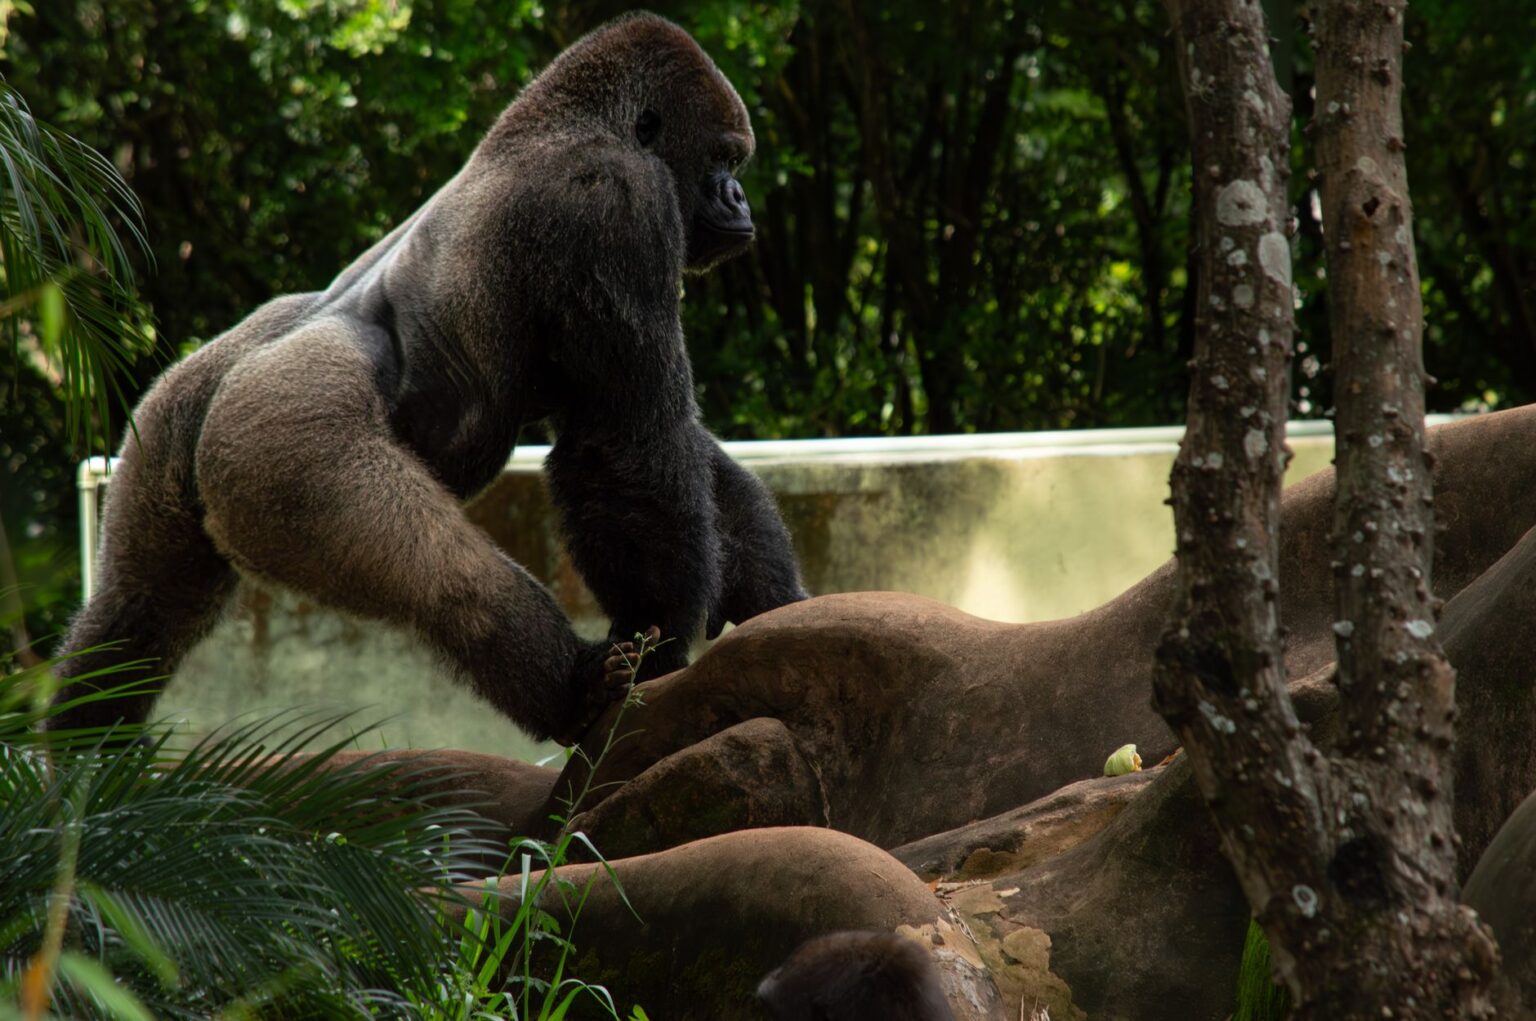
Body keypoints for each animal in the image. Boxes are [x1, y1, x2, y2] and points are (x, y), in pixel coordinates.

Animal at [49, 12, 808, 745]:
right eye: (722, 159)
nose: (740, 197)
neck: (578, 119)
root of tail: (231, 376)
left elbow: (661, 446)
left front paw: (775, 601)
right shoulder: (617, 202)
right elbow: (625, 438)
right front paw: (662, 640)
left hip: (165, 423)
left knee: (135, 611)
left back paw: (86, 757)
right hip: (275, 439)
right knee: (443, 575)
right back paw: (571, 690)